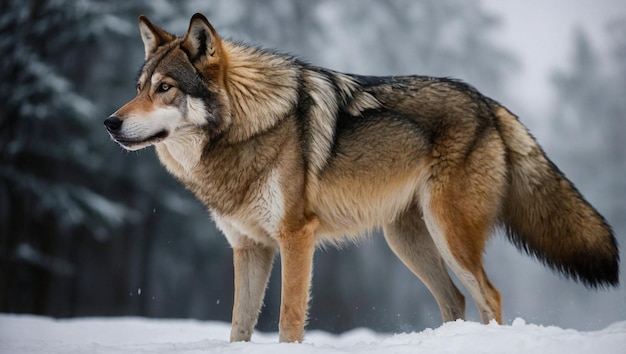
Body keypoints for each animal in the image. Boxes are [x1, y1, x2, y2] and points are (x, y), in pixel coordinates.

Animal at [102, 13, 616, 342]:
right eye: (138, 88)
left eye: (165, 88)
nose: (109, 122)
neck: (247, 127)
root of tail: (488, 103)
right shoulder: (249, 248)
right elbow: (238, 328)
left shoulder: (296, 237)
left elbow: (288, 320)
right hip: (405, 240)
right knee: (455, 301)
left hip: (449, 234)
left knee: (490, 295)